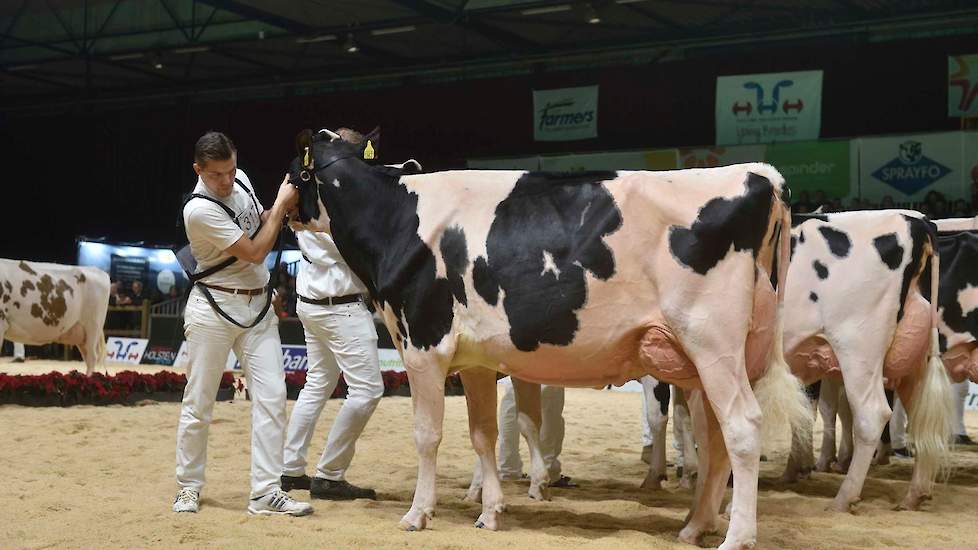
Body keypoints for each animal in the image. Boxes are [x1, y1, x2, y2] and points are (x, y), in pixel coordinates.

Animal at [288, 130, 808, 550]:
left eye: (296, 171)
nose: (283, 215)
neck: (397, 218)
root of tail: (759, 174)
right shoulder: (475, 361)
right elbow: (483, 434)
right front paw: (490, 512)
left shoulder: (423, 346)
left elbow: (426, 434)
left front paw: (418, 514)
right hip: (713, 358)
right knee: (714, 438)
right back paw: (695, 526)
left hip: (712, 344)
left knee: (741, 427)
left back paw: (737, 537)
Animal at [772, 211, 948, 512]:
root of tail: (915, 219)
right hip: (913, 359)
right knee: (920, 419)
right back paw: (914, 495)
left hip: (858, 348)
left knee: (871, 414)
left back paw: (843, 499)